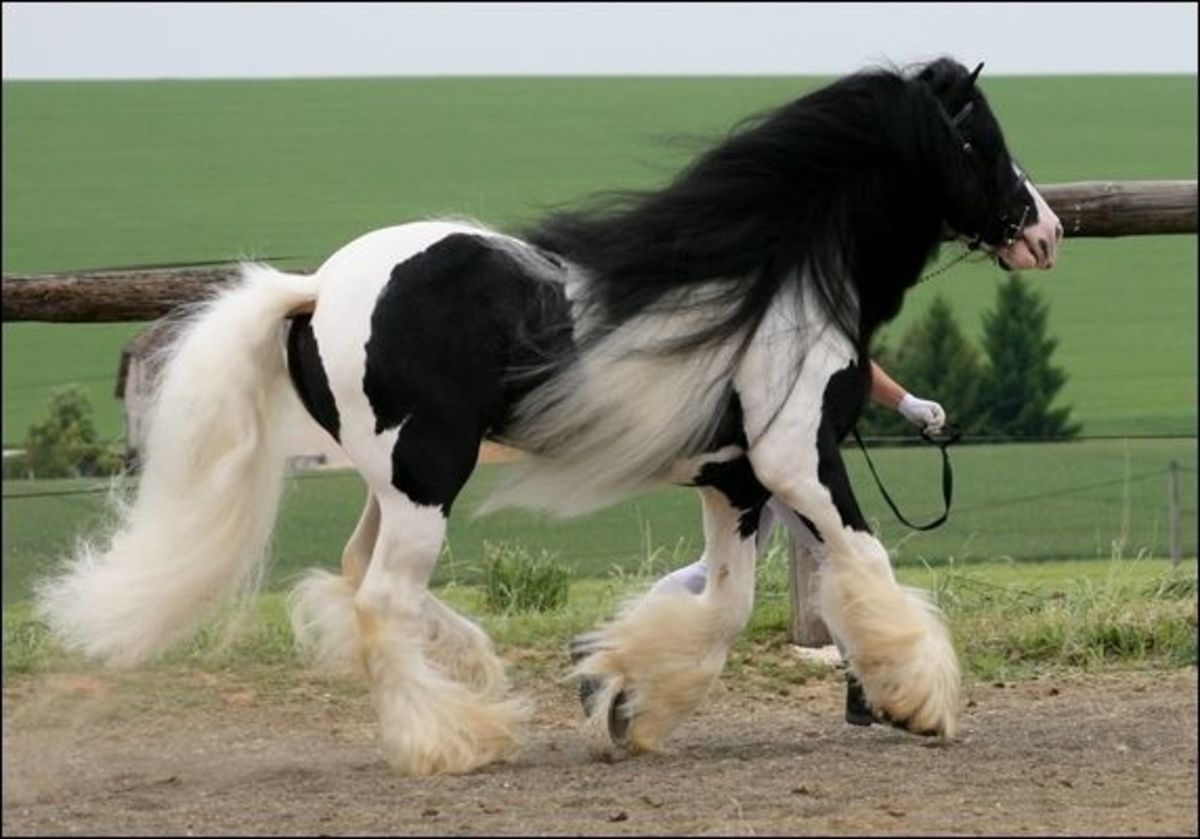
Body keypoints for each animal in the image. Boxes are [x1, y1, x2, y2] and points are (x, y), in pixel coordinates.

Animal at [37, 59, 1060, 777]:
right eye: (982, 140)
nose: (1044, 229)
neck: (780, 283)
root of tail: (318, 286)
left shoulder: (732, 480)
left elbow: (723, 605)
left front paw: (622, 699)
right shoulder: (797, 459)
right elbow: (867, 564)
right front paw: (920, 700)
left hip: (390, 479)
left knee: (359, 574)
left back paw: (475, 673)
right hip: (427, 474)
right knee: (380, 597)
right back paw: (451, 739)